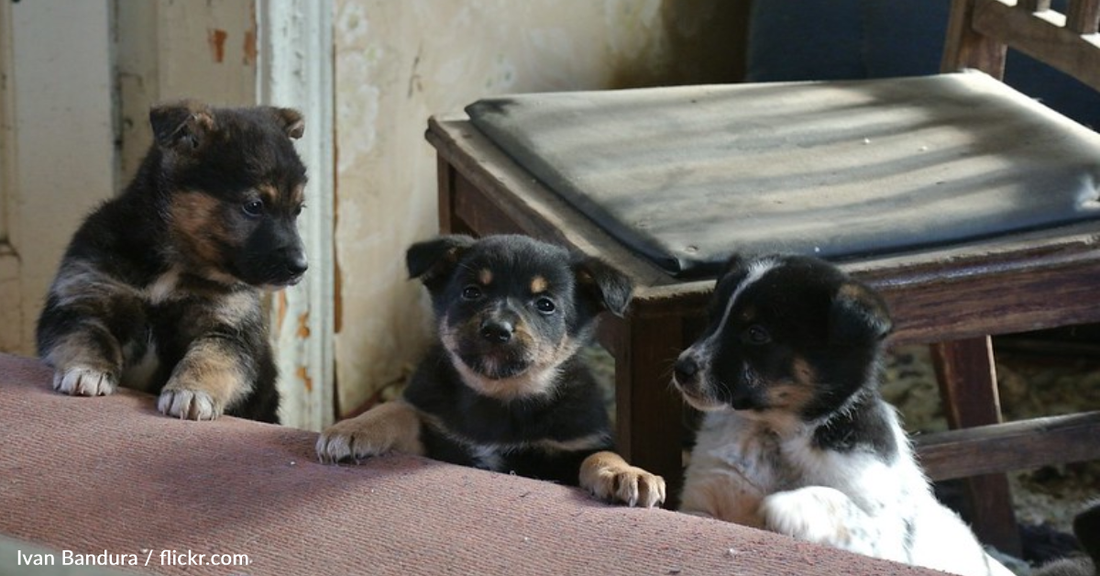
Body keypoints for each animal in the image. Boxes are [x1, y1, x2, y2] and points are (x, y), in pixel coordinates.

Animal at [35, 98, 310, 422]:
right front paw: (86, 371)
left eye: (298, 210)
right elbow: (89, 335)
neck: (173, 263)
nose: (301, 267)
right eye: (254, 206)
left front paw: (191, 392)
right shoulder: (80, 300)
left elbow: (210, 357)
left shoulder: (228, 329)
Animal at [314, 234, 664, 507]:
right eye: (472, 291)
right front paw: (352, 428)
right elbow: (396, 410)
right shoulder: (437, 432)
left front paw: (626, 473)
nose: (496, 330)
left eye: (545, 304)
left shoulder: (576, 444)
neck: (500, 397)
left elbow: (600, 455)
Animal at [668, 252, 1012, 576]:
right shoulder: (701, 503)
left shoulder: (886, 538)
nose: (681, 370)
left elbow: (836, 501)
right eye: (711, 319)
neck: (776, 430)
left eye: (756, 333)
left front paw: (786, 505)